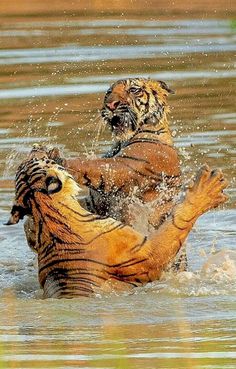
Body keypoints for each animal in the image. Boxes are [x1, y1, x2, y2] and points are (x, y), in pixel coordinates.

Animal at [5, 147, 228, 300]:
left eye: (34, 158)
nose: (35, 148)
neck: (47, 216)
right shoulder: (149, 253)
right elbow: (177, 221)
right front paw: (208, 187)